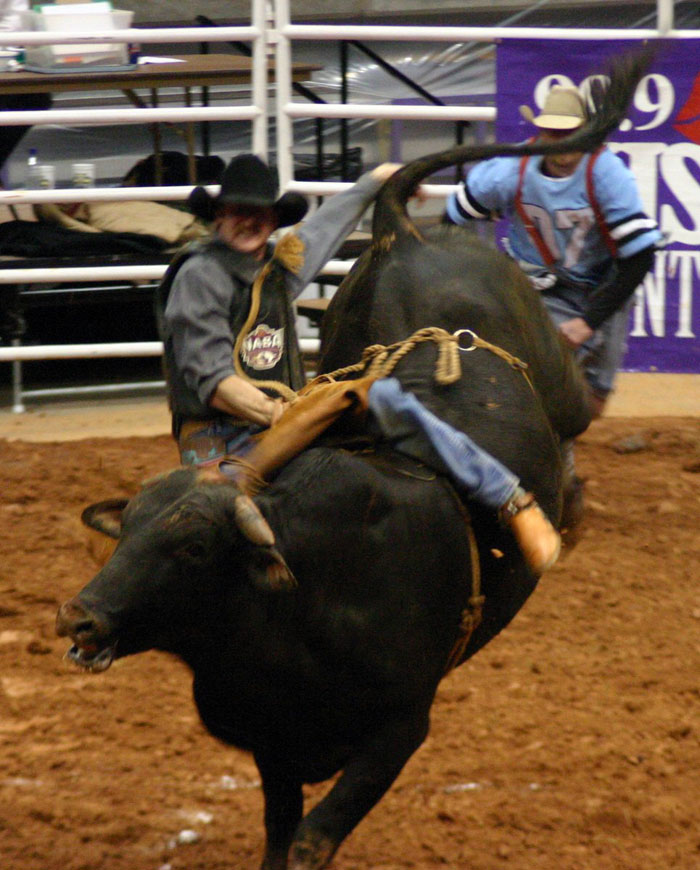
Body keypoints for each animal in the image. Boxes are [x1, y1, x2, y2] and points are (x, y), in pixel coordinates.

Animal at [56, 54, 648, 870]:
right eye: (128, 531)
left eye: (194, 547)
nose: (79, 616)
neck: (303, 598)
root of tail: (404, 233)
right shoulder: (274, 744)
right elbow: (281, 831)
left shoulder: (400, 727)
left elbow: (312, 839)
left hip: (559, 380)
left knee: (579, 415)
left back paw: (560, 516)